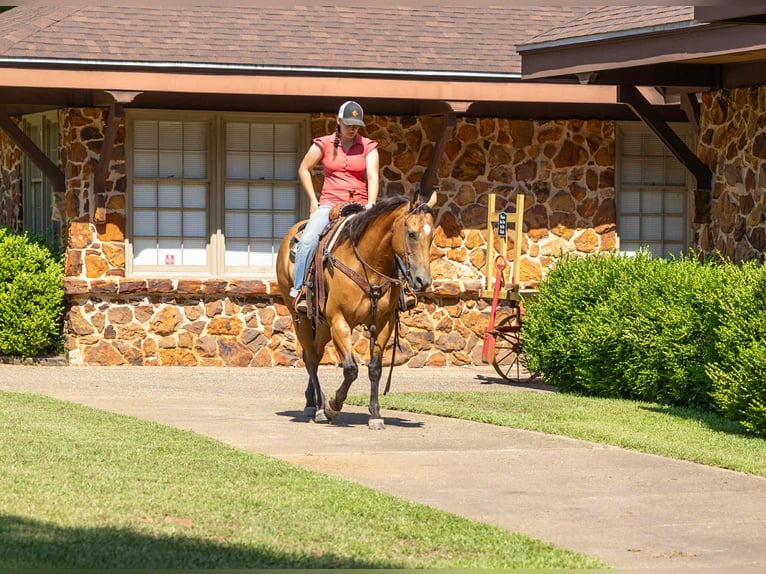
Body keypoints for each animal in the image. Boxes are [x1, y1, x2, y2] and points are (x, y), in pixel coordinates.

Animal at [276, 192, 437, 430]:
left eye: (432, 236)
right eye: (411, 233)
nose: (422, 281)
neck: (370, 266)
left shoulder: (384, 323)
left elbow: (375, 368)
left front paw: (375, 414)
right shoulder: (339, 320)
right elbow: (351, 369)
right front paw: (332, 406)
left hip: (322, 324)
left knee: (315, 353)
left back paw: (311, 402)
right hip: (300, 317)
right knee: (311, 358)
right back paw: (320, 406)